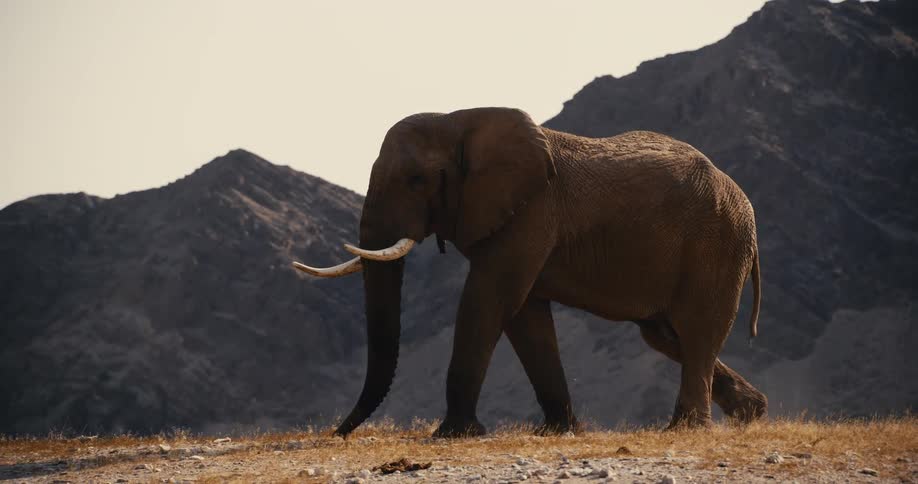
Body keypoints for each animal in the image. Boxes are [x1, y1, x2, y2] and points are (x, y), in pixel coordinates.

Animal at [294, 107, 767, 438]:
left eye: (415, 180)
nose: (337, 433)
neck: (459, 120)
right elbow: (525, 315)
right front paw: (558, 431)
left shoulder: (531, 213)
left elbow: (489, 298)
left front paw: (454, 434)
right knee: (666, 336)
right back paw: (752, 414)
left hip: (717, 244)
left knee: (696, 330)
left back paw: (687, 428)